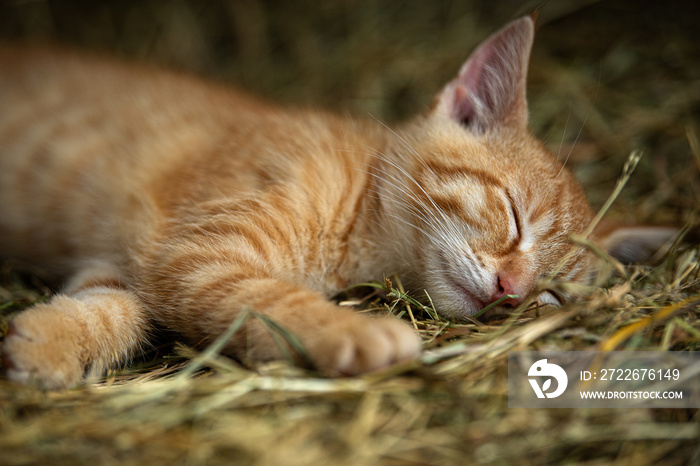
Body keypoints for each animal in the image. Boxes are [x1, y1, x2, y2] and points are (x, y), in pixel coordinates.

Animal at [0, 16, 676, 388]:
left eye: (553, 294)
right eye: (512, 215)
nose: (512, 291)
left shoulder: (147, 261)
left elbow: (119, 309)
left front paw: (51, 341)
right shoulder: (192, 252)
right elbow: (264, 298)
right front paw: (353, 331)